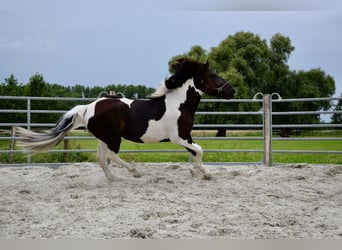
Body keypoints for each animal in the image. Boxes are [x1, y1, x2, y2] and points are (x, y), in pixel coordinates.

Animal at [16, 58, 235, 183]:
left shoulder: (186, 136)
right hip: (114, 138)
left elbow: (196, 152)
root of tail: (87, 108)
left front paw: (198, 172)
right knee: (112, 156)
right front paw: (202, 173)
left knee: (102, 158)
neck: (179, 104)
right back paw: (135, 172)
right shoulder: (179, 137)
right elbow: (199, 150)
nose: (232, 91)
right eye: (213, 75)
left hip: (104, 138)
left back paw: (113, 178)